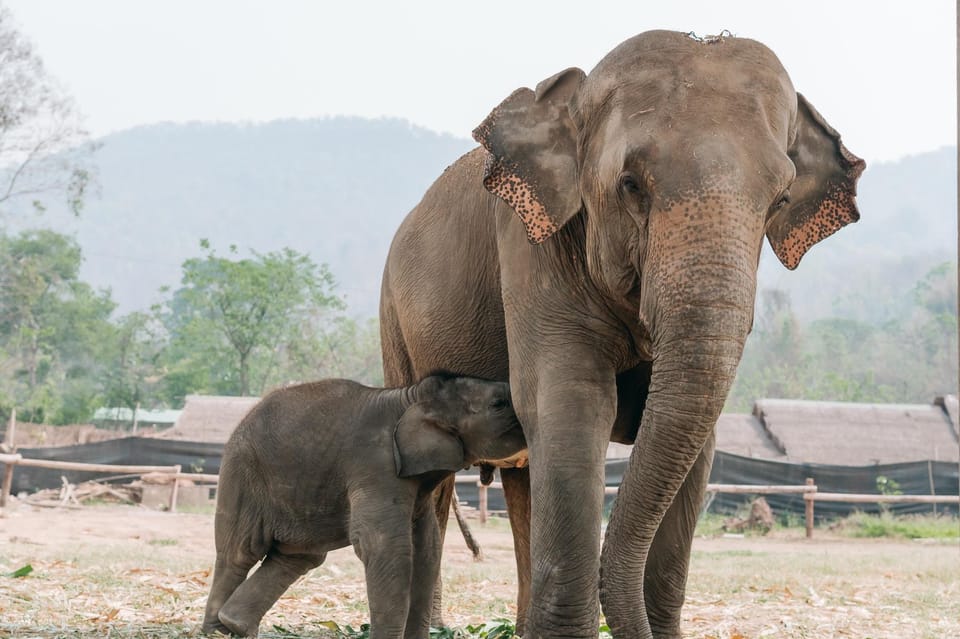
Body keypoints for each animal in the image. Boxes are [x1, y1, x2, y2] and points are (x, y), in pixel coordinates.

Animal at [198, 372, 520, 636]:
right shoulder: (376, 465)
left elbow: (427, 549)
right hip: (243, 474)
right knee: (239, 552)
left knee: (298, 557)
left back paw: (236, 625)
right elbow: (387, 547)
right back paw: (218, 631)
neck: (411, 396)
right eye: (499, 404)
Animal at [378, 30, 868, 639]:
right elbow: (573, 407)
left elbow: (696, 444)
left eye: (779, 200)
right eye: (631, 185)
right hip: (394, 321)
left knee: (524, 482)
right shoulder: (530, 248)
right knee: (436, 481)